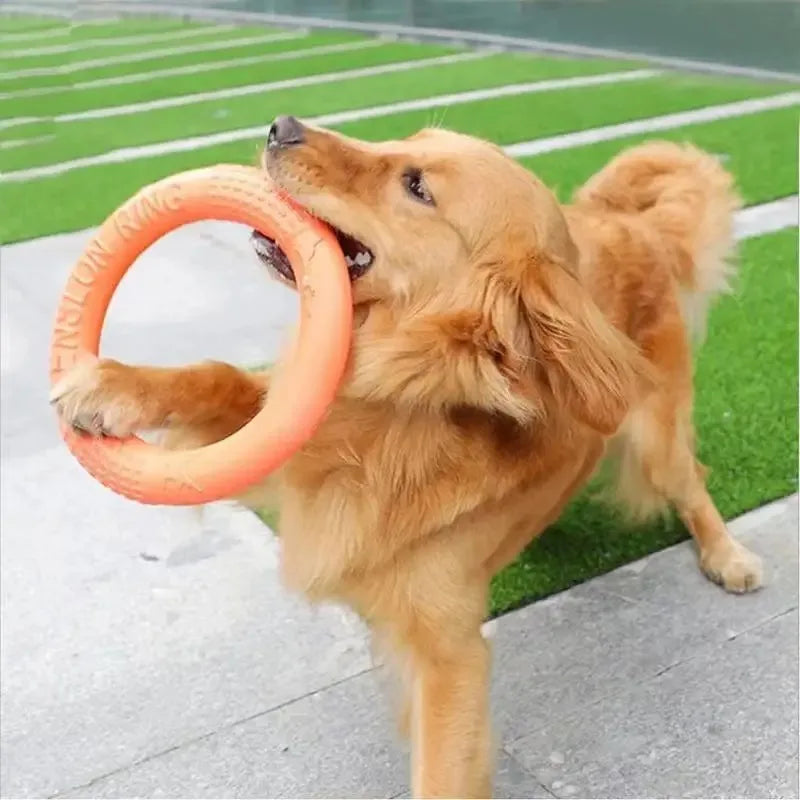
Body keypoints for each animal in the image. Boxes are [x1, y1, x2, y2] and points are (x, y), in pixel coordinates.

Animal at [50, 119, 764, 800]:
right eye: (403, 141)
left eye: (416, 186)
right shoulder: (296, 437)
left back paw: (727, 557)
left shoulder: (449, 657)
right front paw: (111, 388)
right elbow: (217, 376)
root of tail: (628, 222)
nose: (281, 126)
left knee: (689, 485)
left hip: (658, 433)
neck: (397, 404)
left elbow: (441, 774)